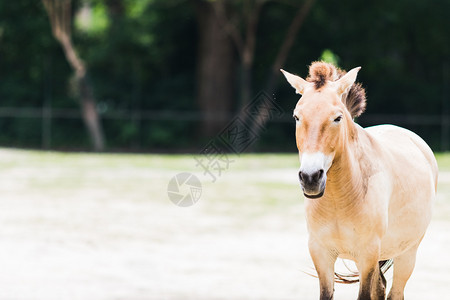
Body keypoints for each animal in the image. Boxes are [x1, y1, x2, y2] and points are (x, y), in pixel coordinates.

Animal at [280, 61, 438, 300]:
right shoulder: (321, 253)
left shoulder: (368, 254)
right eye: (297, 117)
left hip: (407, 253)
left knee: (395, 292)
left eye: (337, 118)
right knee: (380, 288)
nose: (310, 177)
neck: (339, 198)